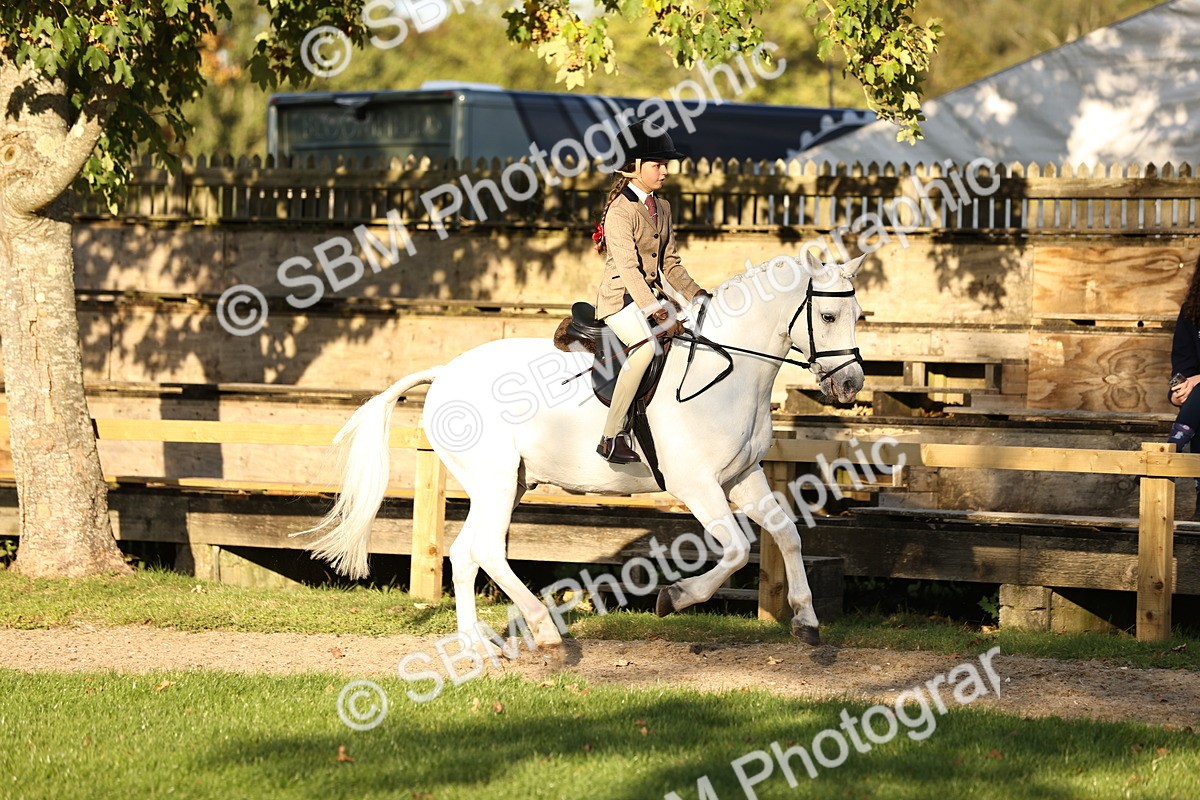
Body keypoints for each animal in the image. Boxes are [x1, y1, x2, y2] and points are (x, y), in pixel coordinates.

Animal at [298, 250, 865, 650]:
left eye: (858, 313)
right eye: (829, 316)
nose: (850, 384)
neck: (727, 372)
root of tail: (445, 374)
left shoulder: (742, 477)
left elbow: (786, 535)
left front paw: (807, 621)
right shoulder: (697, 486)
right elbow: (736, 550)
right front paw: (674, 597)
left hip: (506, 483)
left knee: (465, 553)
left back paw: (475, 642)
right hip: (496, 480)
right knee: (486, 549)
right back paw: (544, 630)